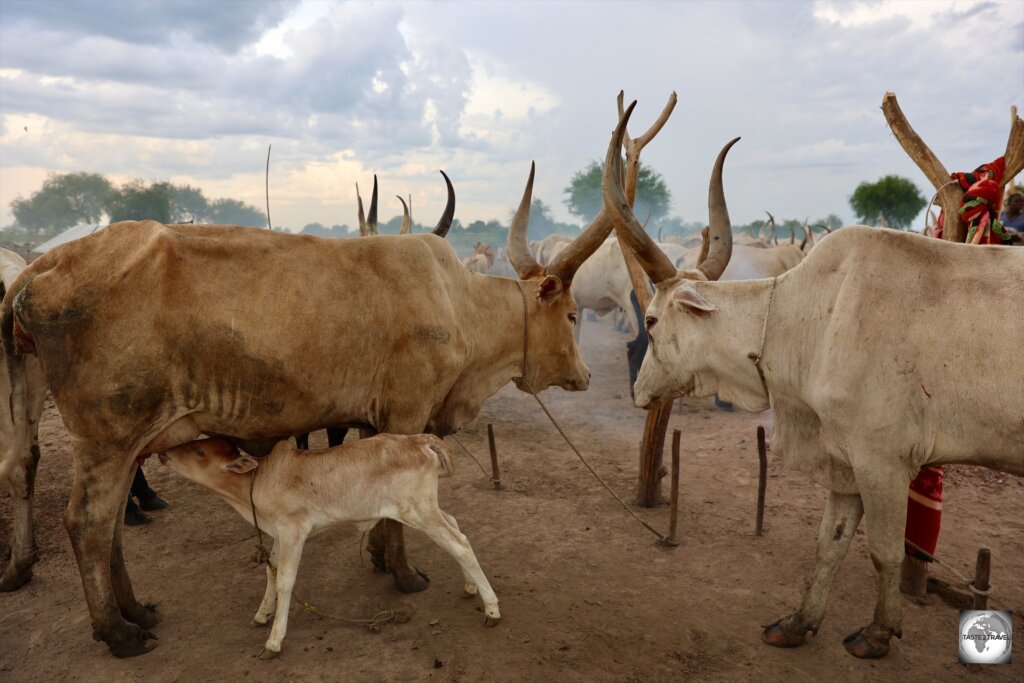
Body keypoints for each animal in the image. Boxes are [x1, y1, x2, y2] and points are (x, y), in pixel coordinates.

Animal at [159, 436, 499, 659]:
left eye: (199, 450)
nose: (163, 453)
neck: (256, 483)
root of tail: (418, 439)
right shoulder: (278, 533)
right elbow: (271, 572)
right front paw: (262, 614)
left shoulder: (294, 530)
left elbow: (285, 580)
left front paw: (274, 641)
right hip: (425, 508)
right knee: (456, 526)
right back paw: (470, 587)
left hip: (418, 511)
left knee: (460, 545)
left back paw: (492, 609)